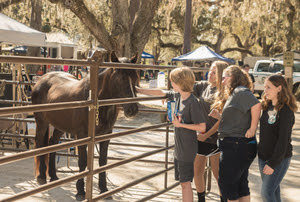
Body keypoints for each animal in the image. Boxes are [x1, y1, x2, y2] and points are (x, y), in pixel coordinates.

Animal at [31, 51, 139, 200]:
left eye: (135, 78)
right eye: (120, 79)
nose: (132, 109)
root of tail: (41, 80)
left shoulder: (105, 136)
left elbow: (102, 162)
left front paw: (104, 190)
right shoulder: (82, 136)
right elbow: (82, 162)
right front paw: (80, 192)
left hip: (60, 125)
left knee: (52, 142)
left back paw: (53, 176)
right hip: (42, 122)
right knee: (41, 145)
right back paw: (41, 177)